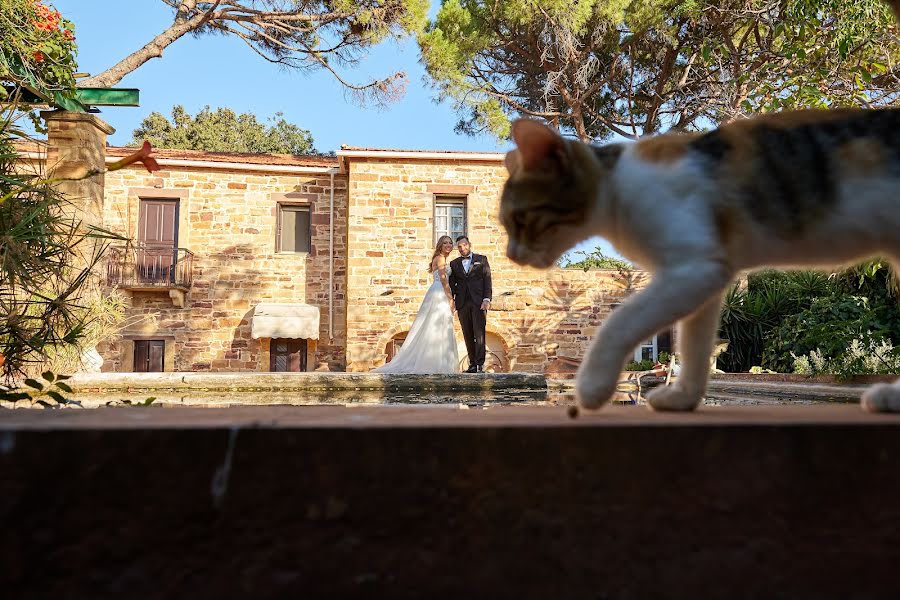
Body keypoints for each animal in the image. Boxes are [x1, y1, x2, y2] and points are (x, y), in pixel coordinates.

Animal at [502, 0, 900, 412]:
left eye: (519, 219)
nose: (511, 255)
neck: (617, 190)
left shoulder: (692, 269)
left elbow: (620, 322)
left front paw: (593, 386)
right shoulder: (705, 277)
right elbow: (693, 348)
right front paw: (681, 396)